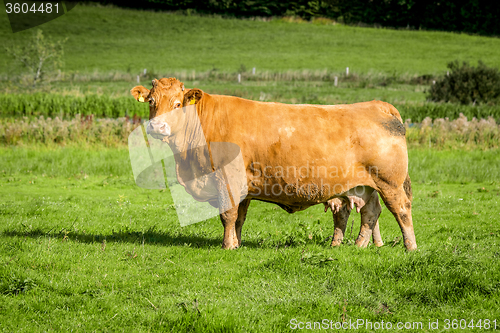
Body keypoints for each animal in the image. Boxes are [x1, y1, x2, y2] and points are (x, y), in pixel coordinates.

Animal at [131, 78, 416, 249]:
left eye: (178, 104)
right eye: (152, 102)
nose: (157, 126)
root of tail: (378, 105)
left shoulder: (227, 178)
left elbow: (227, 214)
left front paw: (227, 246)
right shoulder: (243, 185)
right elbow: (239, 218)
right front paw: (237, 243)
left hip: (389, 182)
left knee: (401, 210)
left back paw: (410, 247)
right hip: (363, 186)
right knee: (370, 212)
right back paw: (358, 245)